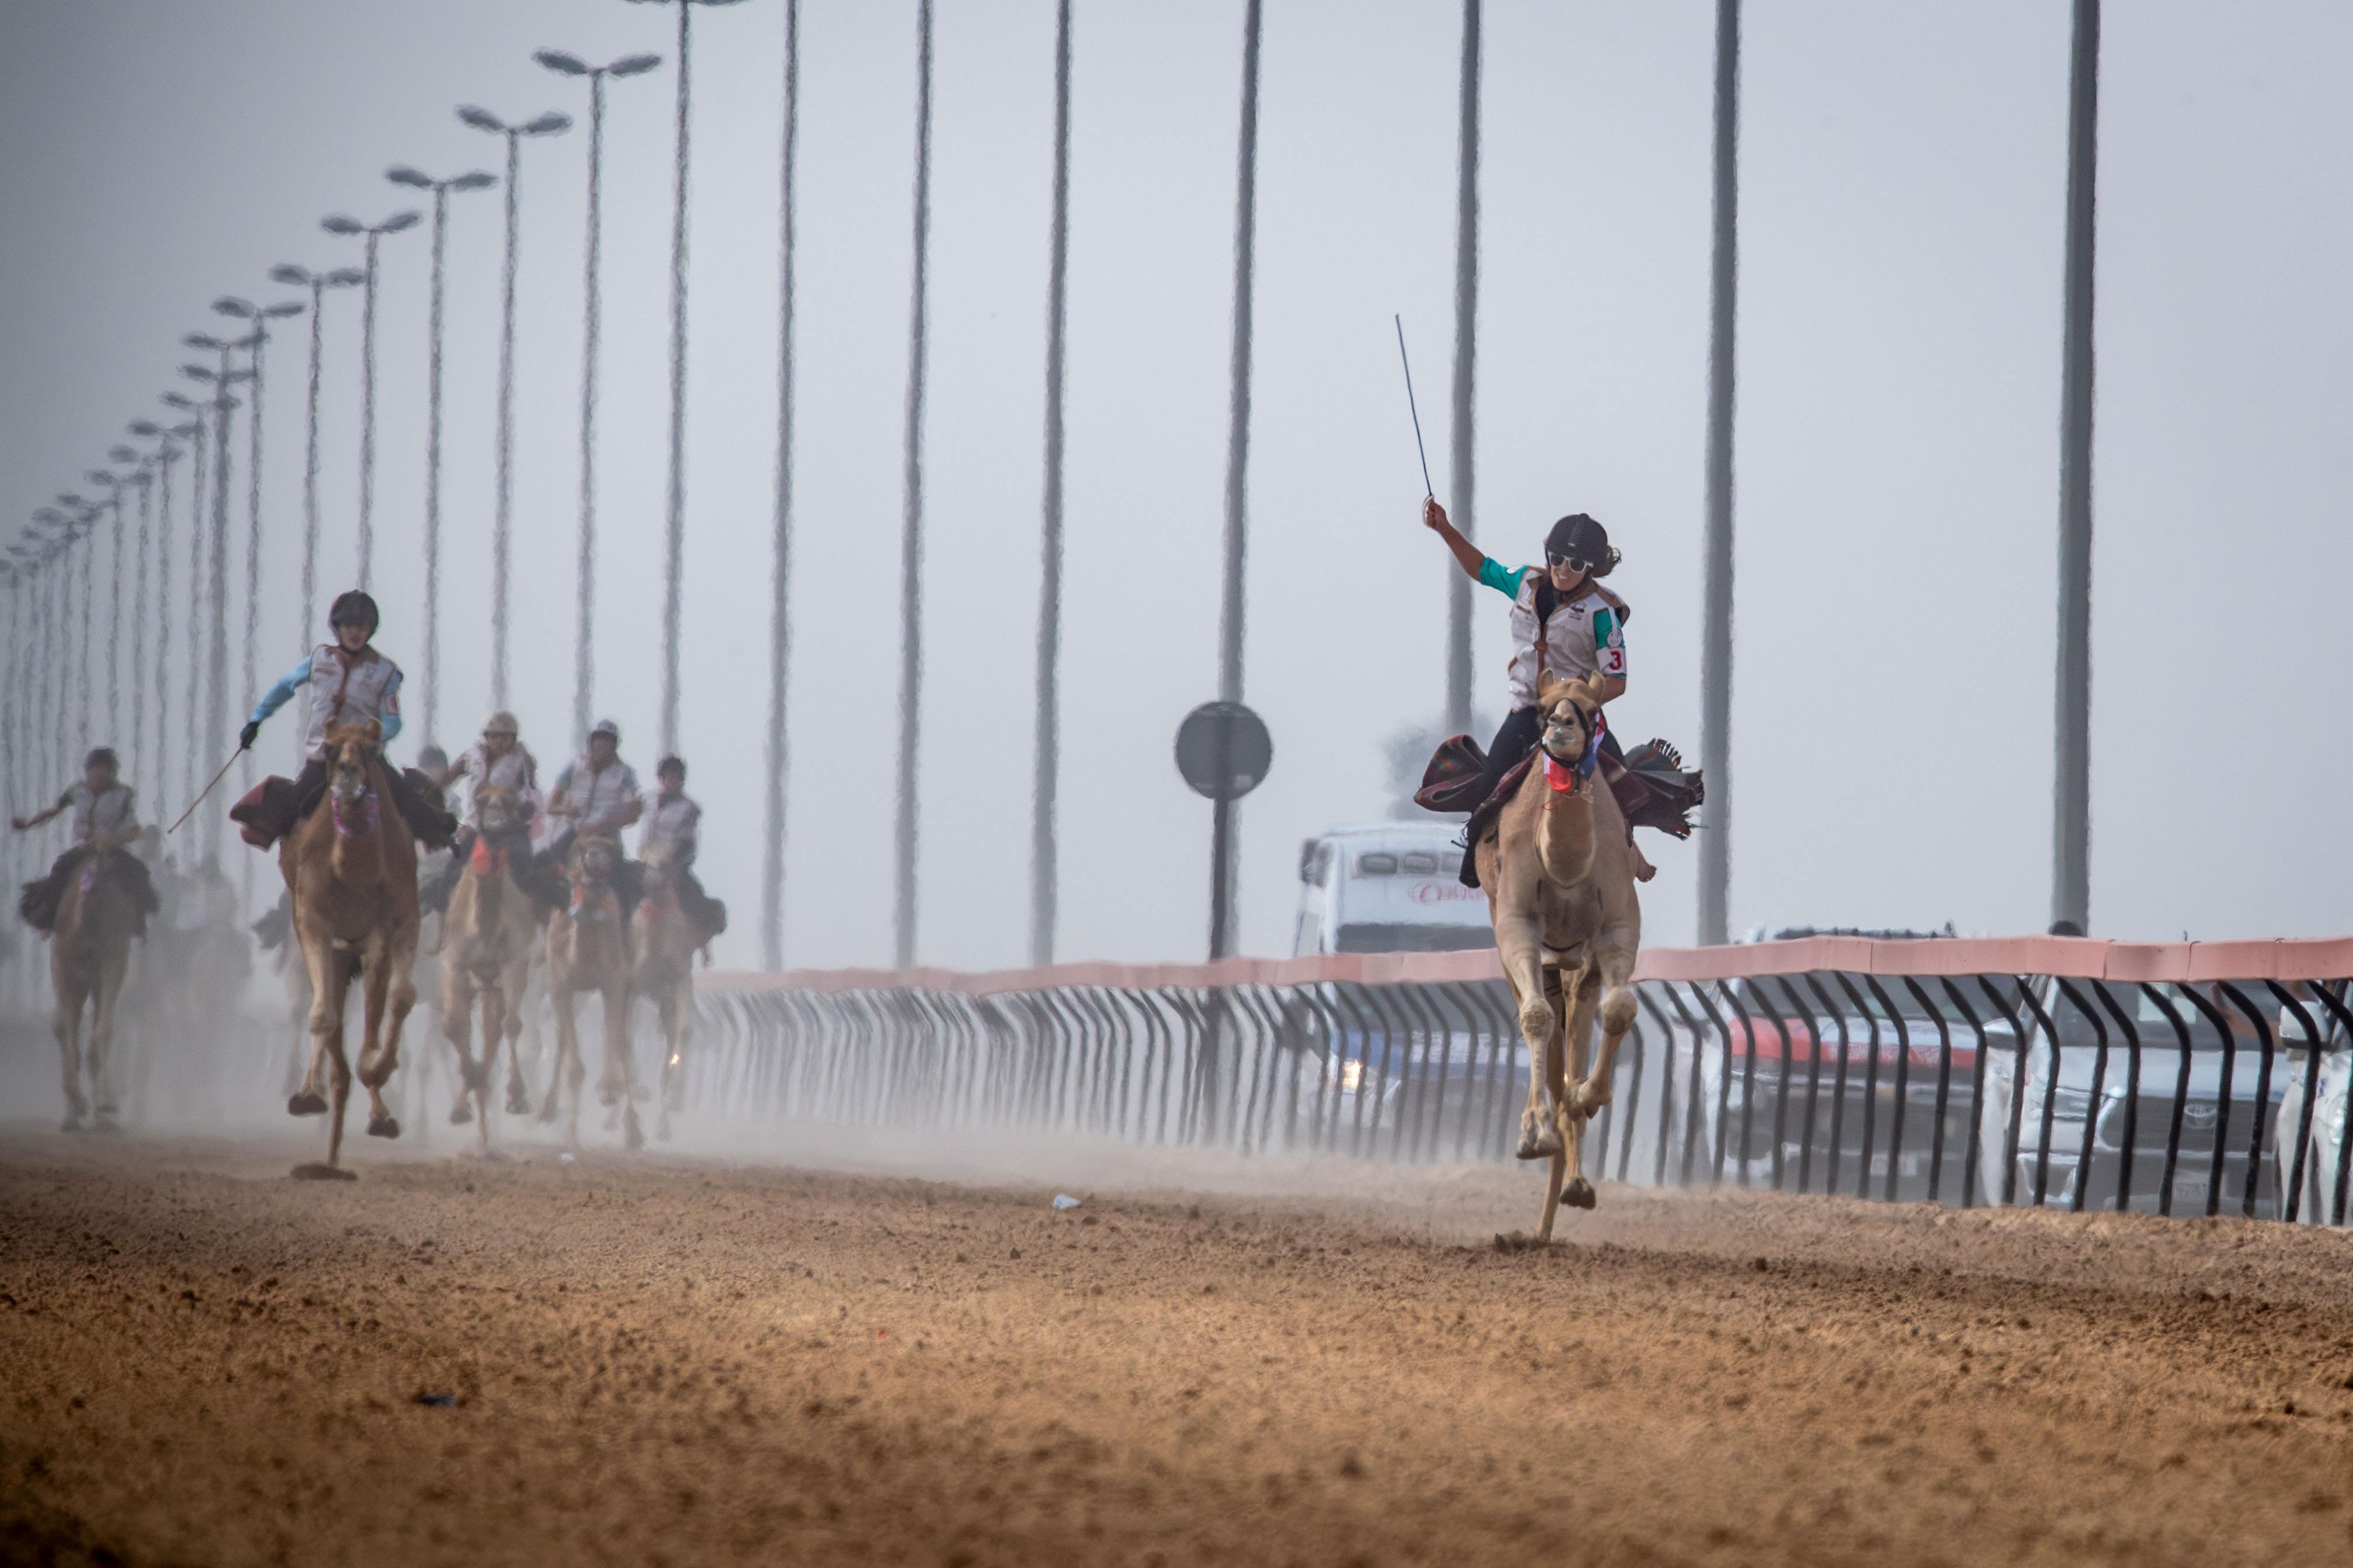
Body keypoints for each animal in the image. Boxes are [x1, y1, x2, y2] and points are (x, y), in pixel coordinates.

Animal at [279, 724, 426, 1175]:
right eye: (327, 750)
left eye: (373, 750)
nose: (347, 774)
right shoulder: (313, 922)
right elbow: (323, 1014)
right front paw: (309, 1095)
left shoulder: (387, 929)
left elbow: (399, 999)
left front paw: (377, 1069)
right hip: (333, 949)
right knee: (330, 1013)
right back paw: (327, 1140)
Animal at [435, 780, 539, 1152]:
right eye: (480, 801)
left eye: (508, 802)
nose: (494, 819)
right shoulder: (453, 961)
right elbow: (453, 1026)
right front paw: (461, 1105)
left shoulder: (514, 962)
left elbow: (512, 1025)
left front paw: (517, 1099)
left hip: (496, 980)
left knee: (496, 1028)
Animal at [539, 832, 640, 1152]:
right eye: (580, 850)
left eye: (608, 850)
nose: (593, 857)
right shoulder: (561, 985)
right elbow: (574, 1067)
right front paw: (571, 1139)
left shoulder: (614, 981)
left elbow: (615, 1040)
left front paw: (609, 1091)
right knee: (561, 1038)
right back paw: (548, 1110)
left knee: (622, 1039)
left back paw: (632, 1130)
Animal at [635, 846, 715, 1142]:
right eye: (644, 861)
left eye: (668, 862)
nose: (649, 881)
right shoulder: (634, 982)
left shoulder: (679, 979)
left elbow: (684, 1033)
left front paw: (670, 1108)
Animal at [1468, 672, 1638, 1241]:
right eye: (1541, 708)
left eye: (1591, 708)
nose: (1561, 728)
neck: (1564, 863)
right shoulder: (1517, 925)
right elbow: (1536, 1018)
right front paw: (1533, 1134)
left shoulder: (1617, 927)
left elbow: (1619, 1009)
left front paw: (1589, 1096)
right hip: (1522, 952)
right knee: (1539, 1017)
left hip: (1575, 964)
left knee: (1579, 1026)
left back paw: (1572, 1185)